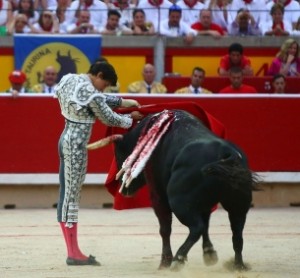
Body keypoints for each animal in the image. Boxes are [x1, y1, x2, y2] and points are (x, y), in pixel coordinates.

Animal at [113, 109, 258, 270]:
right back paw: (238, 266)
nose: (124, 189)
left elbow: (165, 228)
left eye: (118, 156)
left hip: (179, 202)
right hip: (239, 205)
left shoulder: (158, 195)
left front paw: (164, 262)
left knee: (196, 228)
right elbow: (206, 223)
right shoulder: (202, 202)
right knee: (237, 234)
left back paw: (178, 259)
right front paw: (209, 253)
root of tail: (226, 154)